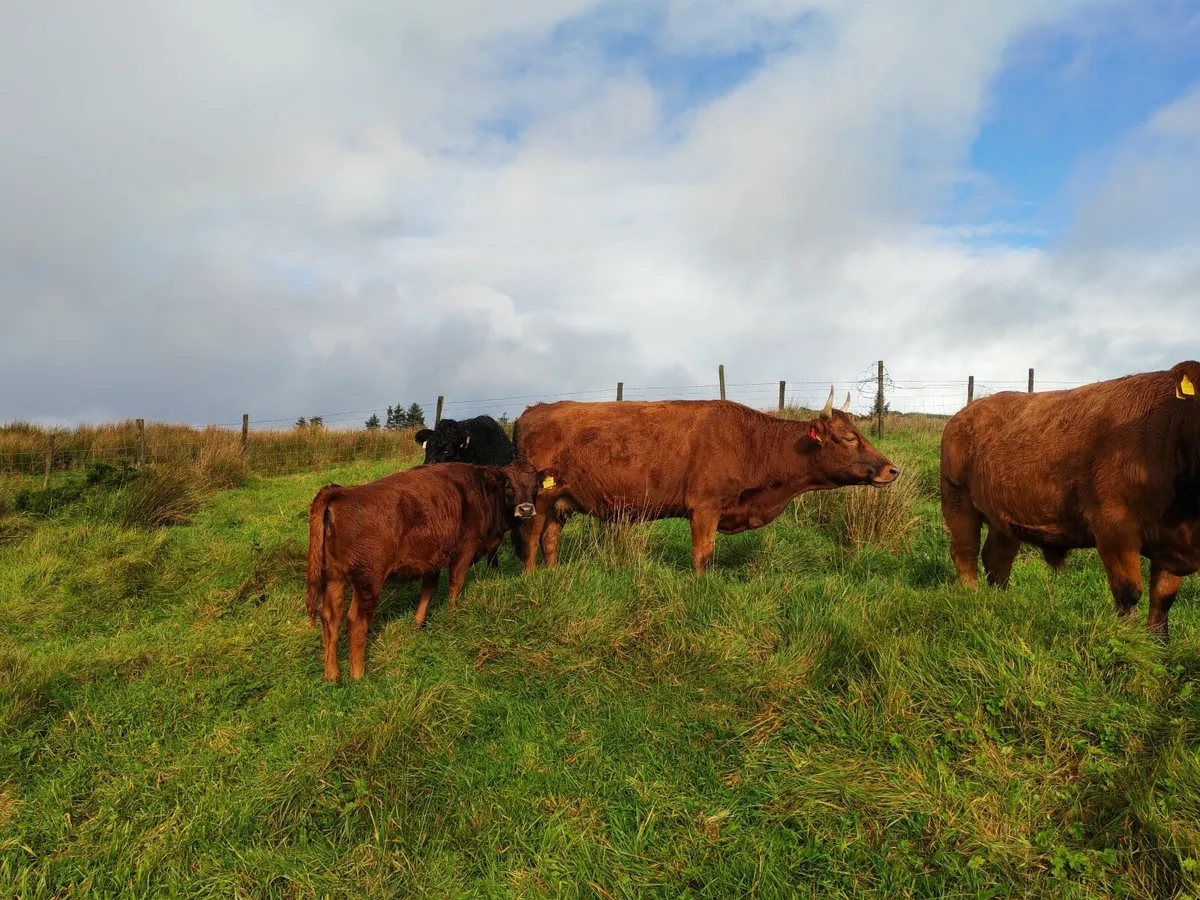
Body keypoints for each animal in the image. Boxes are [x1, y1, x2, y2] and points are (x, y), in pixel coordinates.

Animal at [305, 459, 563, 681]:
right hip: (368, 582)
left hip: (334, 579)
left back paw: (331, 674)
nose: (527, 509)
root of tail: (341, 493)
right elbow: (455, 585)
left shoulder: (431, 559)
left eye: (535, 486)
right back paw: (358, 674)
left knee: (331, 618)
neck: (480, 490)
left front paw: (418, 622)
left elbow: (428, 590)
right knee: (356, 621)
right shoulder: (463, 551)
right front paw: (452, 615)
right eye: (508, 485)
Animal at [512, 387, 900, 574]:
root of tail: (535, 409)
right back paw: (532, 581)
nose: (892, 469)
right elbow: (703, 555)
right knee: (531, 540)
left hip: (562, 501)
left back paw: (554, 576)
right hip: (538, 500)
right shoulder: (704, 507)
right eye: (848, 439)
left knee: (549, 540)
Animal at [939, 360, 1200, 636]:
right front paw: (1128, 639)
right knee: (965, 553)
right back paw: (972, 599)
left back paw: (1002, 603)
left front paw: (1157, 643)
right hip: (958, 501)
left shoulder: (1171, 545)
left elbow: (1162, 600)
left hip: (1003, 517)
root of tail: (965, 412)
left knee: (997, 558)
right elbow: (1128, 593)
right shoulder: (1114, 529)